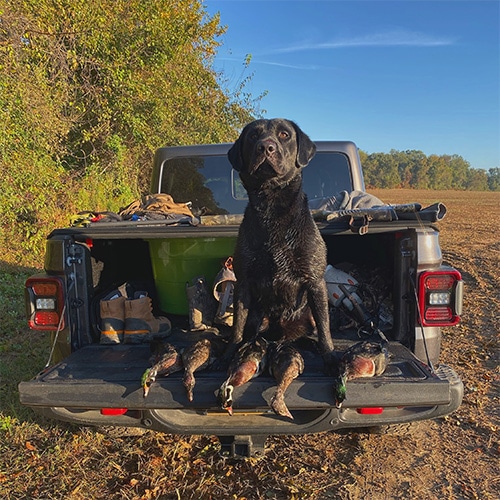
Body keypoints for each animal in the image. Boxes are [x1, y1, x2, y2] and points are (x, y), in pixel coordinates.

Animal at [229, 119, 334, 358]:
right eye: (253, 136)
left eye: (285, 135)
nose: (265, 147)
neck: (272, 209)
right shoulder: (243, 282)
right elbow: (237, 324)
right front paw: (231, 350)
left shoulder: (315, 282)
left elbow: (325, 327)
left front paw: (330, 355)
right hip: (258, 316)